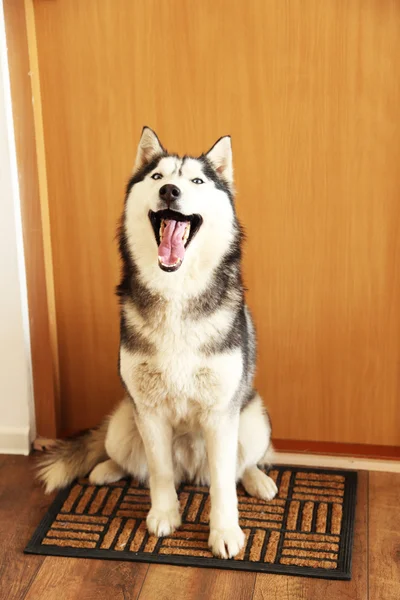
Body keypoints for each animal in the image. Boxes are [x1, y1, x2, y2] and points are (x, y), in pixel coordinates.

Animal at [39, 129, 276, 560]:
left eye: (197, 181)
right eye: (157, 176)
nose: (170, 191)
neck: (176, 290)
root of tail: (192, 470)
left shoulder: (221, 415)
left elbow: (223, 483)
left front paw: (225, 532)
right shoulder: (148, 411)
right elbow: (159, 471)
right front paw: (165, 514)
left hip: (254, 420)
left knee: (241, 465)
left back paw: (258, 480)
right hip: (122, 422)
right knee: (133, 463)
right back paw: (105, 469)